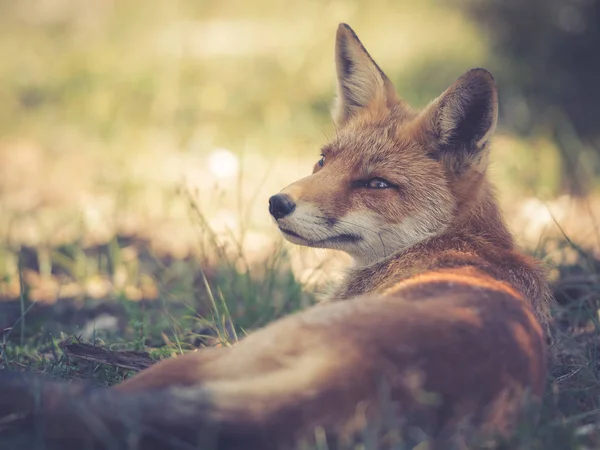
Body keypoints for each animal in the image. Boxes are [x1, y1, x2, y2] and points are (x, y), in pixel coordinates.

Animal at [0, 23, 552, 450]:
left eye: (376, 184)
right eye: (323, 161)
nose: (277, 203)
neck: (458, 243)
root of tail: (372, 373)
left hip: (221, 354)